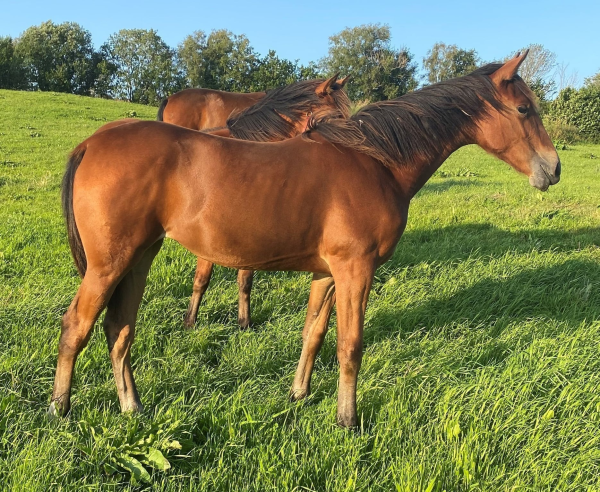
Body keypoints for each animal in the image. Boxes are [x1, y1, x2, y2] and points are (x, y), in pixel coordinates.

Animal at [49, 51, 560, 426]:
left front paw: (298, 394)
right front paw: (347, 419)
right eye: (523, 108)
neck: (374, 161)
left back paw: (131, 407)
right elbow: (350, 346)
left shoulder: (328, 274)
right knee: (77, 325)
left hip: (140, 257)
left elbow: (313, 333)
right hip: (109, 264)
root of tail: (92, 142)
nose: (553, 169)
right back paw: (60, 409)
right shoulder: (356, 271)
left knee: (119, 329)